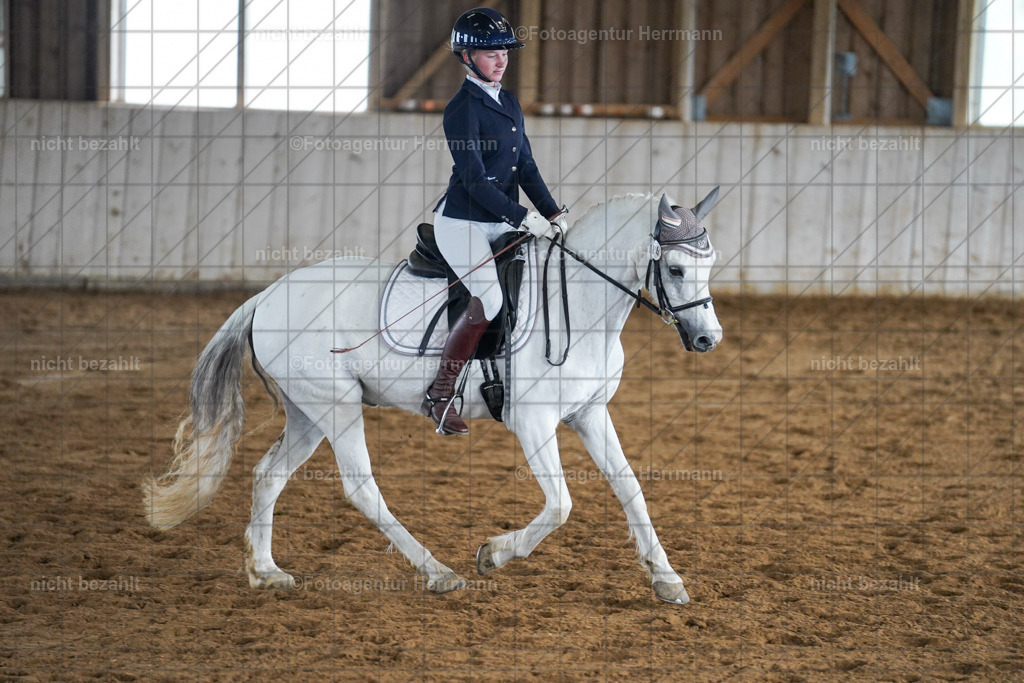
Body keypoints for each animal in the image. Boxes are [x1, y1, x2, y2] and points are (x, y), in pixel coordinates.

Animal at [143, 189, 723, 605]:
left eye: (709, 265)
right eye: (675, 268)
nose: (708, 340)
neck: (577, 304)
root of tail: (267, 294)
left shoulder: (590, 413)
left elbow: (630, 488)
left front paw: (667, 579)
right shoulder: (534, 422)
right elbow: (561, 504)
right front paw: (493, 554)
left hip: (309, 413)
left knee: (269, 474)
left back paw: (266, 572)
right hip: (335, 407)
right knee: (361, 488)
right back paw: (439, 573)